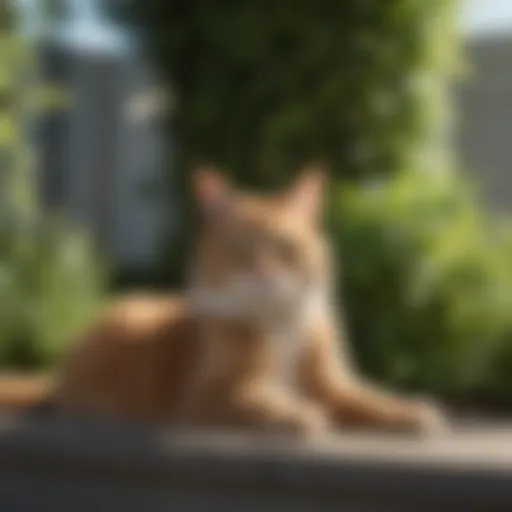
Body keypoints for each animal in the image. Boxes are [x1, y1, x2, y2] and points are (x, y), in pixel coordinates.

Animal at [46, 168, 444, 436]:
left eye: (286, 249)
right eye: (241, 250)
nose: (264, 273)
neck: (279, 323)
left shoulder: (334, 385)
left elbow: (368, 400)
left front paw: (407, 411)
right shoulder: (208, 394)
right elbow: (259, 401)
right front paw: (294, 413)